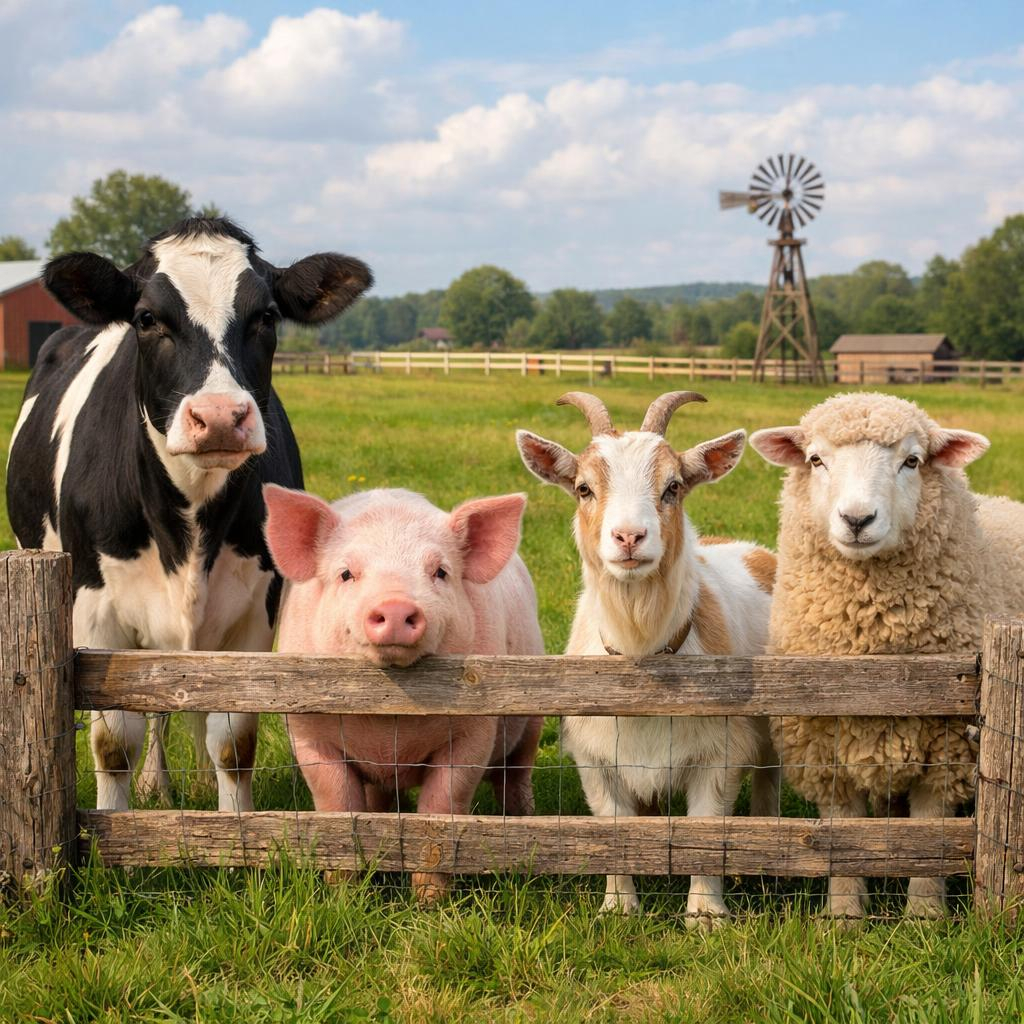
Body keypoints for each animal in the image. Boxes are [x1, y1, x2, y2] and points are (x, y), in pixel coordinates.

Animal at [262, 484, 545, 901]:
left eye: (440, 572)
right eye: (346, 574)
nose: (395, 605)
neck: (390, 712)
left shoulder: (475, 732)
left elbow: (441, 805)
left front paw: (430, 902)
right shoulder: (307, 733)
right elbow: (337, 802)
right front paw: (344, 895)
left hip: (533, 718)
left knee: (517, 775)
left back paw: (524, 821)